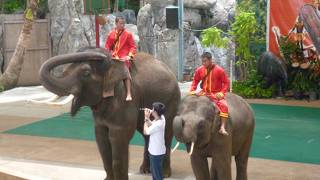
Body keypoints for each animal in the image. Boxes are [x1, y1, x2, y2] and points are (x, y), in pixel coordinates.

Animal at [39, 47, 180, 179]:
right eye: (65, 70)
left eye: (86, 73)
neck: (113, 64)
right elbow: (101, 139)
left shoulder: (125, 100)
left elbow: (118, 137)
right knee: (146, 133)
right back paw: (144, 170)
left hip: (171, 100)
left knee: (166, 133)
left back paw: (165, 173)